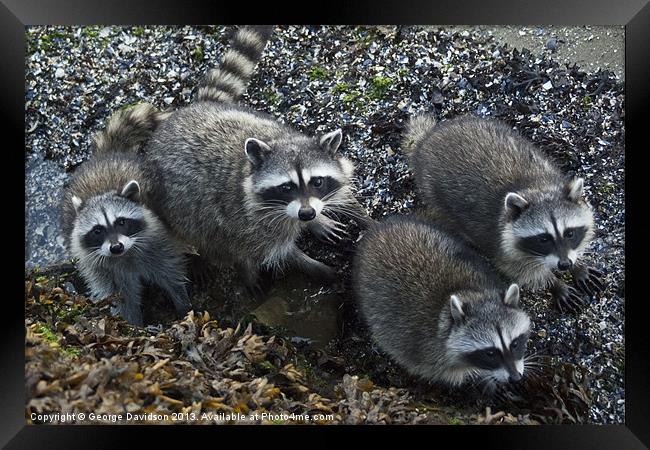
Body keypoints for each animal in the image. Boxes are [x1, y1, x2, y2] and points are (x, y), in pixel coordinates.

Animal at [60, 103, 190, 326]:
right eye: (97, 230)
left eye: (121, 222)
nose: (116, 247)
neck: (125, 256)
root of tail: (107, 155)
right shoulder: (100, 267)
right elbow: (122, 298)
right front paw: (133, 324)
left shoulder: (158, 244)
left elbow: (171, 274)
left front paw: (183, 304)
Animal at [142, 25, 368, 292]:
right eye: (286, 187)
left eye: (318, 181)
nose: (307, 214)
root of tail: (185, 112)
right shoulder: (243, 221)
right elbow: (265, 250)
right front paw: (309, 265)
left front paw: (350, 220)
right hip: (171, 202)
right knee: (192, 231)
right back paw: (198, 258)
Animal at [352, 216, 528, 388]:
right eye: (490, 352)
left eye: (515, 344)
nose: (515, 378)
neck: (473, 295)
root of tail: (380, 227)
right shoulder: (428, 353)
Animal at [400, 116, 604, 312]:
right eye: (543, 239)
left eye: (569, 233)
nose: (564, 265)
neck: (537, 189)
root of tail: (428, 137)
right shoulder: (504, 248)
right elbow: (526, 273)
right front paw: (555, 284)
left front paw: (578, 266)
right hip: (434, 196)